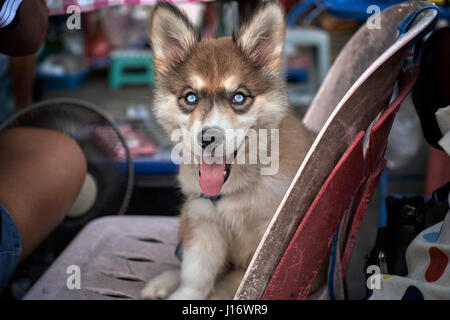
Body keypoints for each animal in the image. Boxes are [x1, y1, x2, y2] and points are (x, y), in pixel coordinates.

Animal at [142, 1, 316, 300]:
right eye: (191, 97)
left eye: (239, 97)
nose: (208, 138)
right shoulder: (202, 219)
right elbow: (195, 275)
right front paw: (184, 292)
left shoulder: (271, 241)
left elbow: (238, 282)